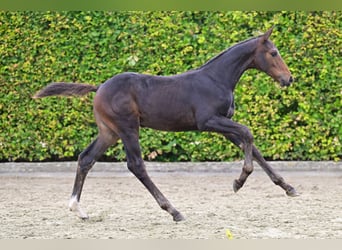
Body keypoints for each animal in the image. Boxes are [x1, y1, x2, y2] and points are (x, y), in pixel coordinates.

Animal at [34, 27, 296, 222]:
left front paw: (287, 186)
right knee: (136, 165)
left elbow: (253, 148)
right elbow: (248, 134)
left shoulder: (224, 122)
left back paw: (78, 209)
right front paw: (239, 182)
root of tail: (99, 88)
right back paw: (174, 210)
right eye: (274, 53)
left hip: (109, 132)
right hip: (128, 128)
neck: (216, 79)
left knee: (86, 158)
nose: (289, 78)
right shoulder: (208, 121)